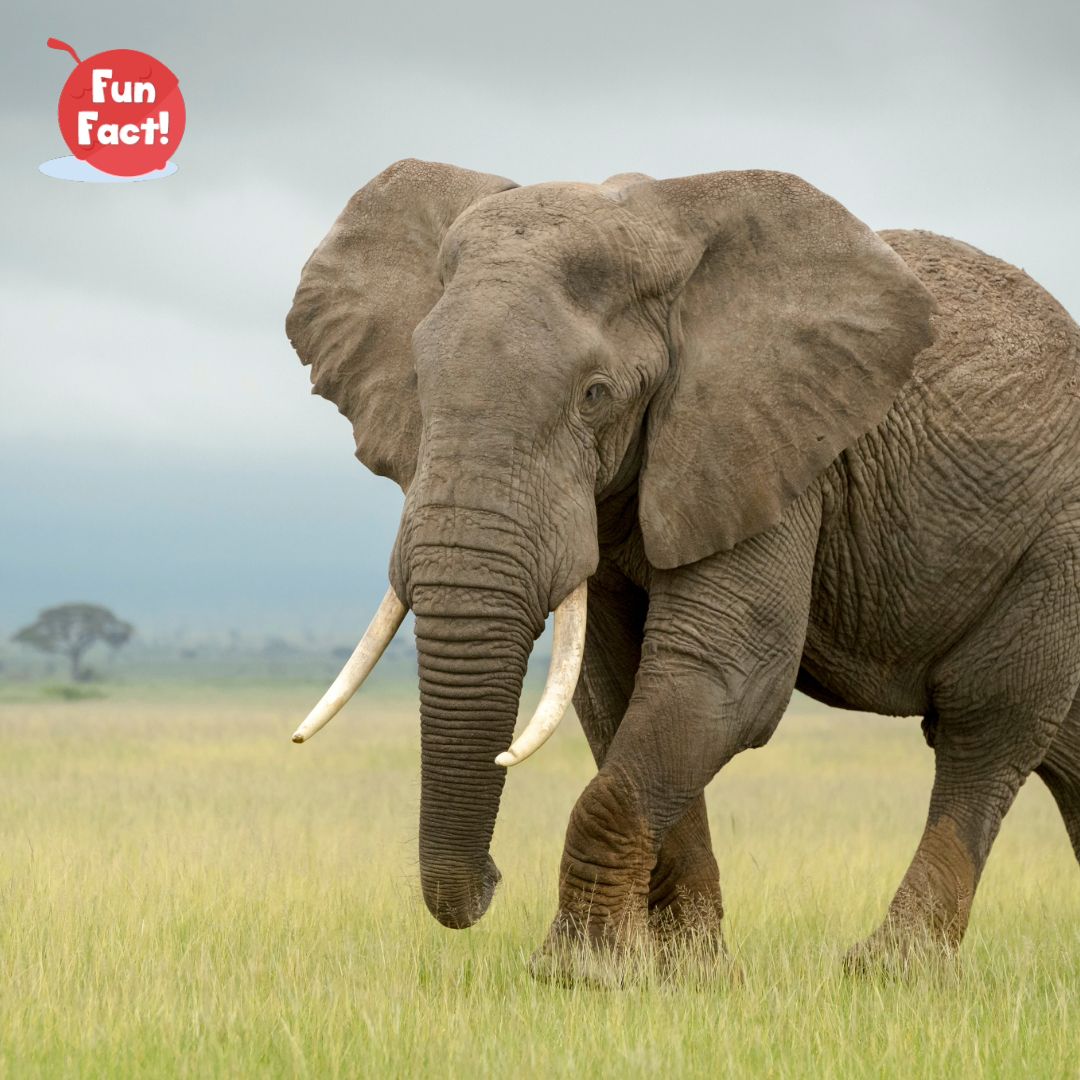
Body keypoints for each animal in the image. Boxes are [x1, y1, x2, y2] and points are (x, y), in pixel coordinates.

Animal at [285, 159, 1080, 977]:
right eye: (417, 382)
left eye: (596, 395)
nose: (492, 882)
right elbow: (618, 687)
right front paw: (685, 971)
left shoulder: (770, 447)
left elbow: (724, 674)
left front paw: (582, 974)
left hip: (1055, 542)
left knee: (989, 722)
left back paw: (890, 969)